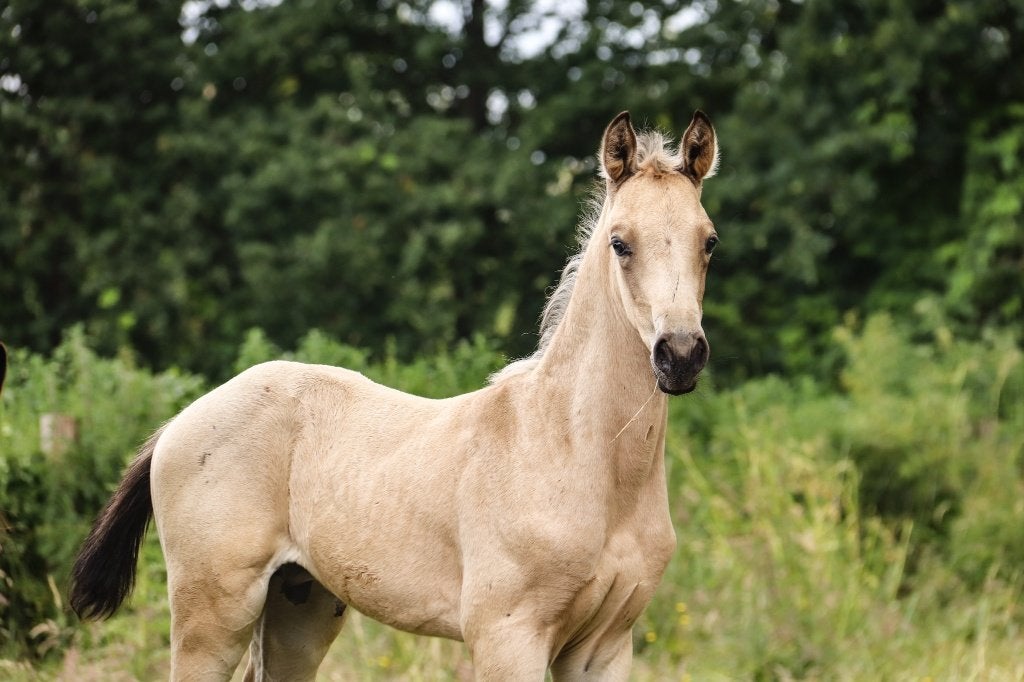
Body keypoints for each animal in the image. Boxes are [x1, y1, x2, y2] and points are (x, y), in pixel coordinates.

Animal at [70, 109, 721, 681]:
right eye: (620, 242)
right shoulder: (507, 637)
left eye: (708, 241)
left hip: (299, 605)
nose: (680, 355)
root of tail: (177, 424)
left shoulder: (604, 646)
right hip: (212, 613)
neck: (575, 451)